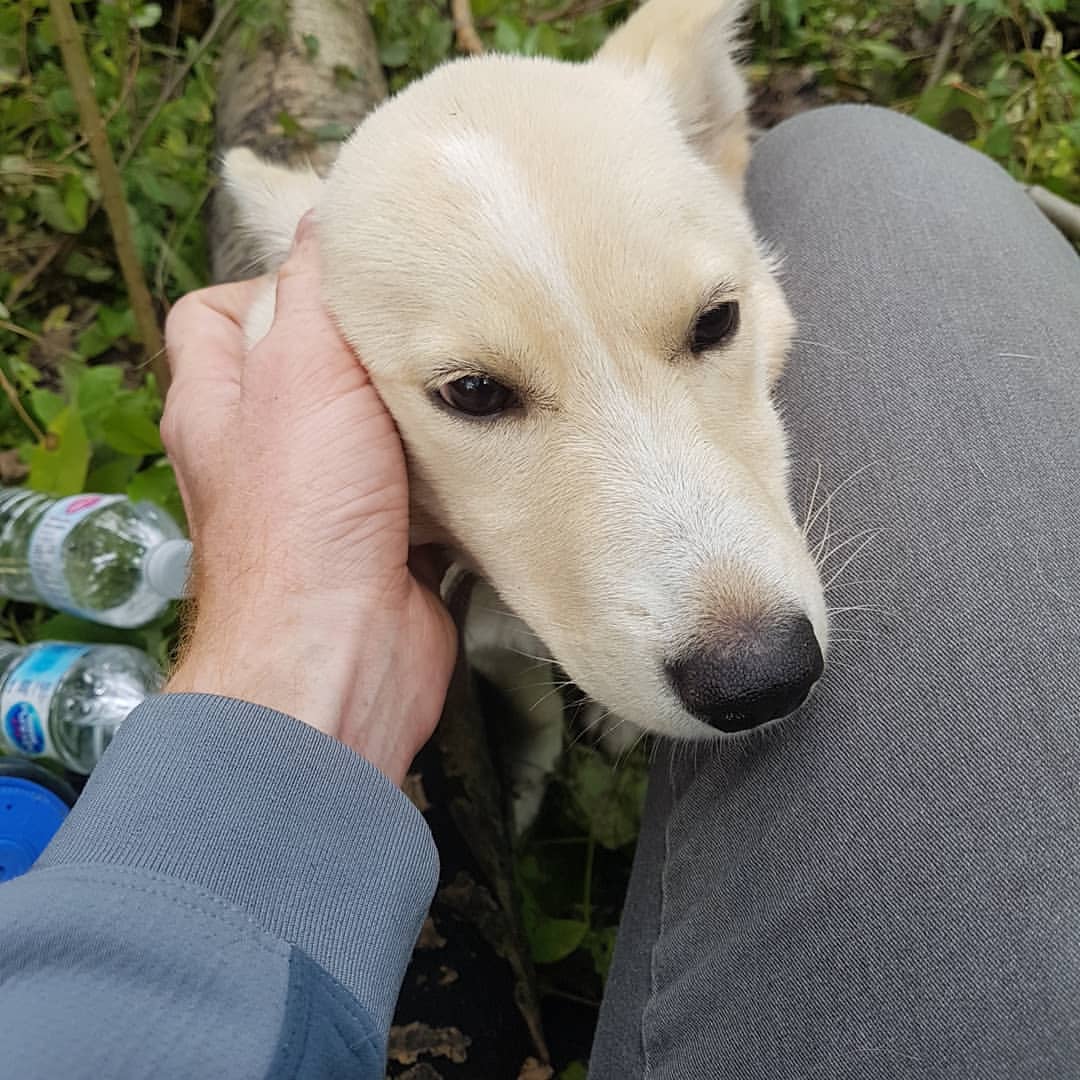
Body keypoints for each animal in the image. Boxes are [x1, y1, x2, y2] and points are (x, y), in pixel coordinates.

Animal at [221, 0, 825, 786]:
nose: (764, 680)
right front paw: (529, 778)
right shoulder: (489, 647)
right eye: (474, 392)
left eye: (717, 320)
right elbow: (535, 715)